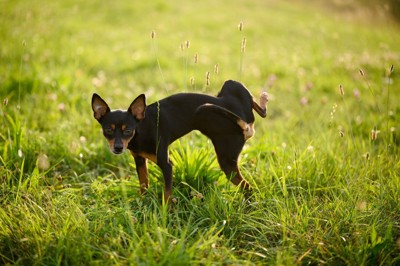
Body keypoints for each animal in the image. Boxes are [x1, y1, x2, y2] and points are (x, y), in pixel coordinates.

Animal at [92, 80, 268, 203]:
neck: (140, 129)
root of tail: (245, 124)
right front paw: (141, 202)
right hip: (231, 86)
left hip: (226, 159)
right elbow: (143, 184)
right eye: (108, 130)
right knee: (261, 112)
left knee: (248, 187)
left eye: (128, 130)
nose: (117, 148)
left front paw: (165, 213)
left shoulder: (166, 165)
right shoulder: (140, 160)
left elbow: (167, 193)